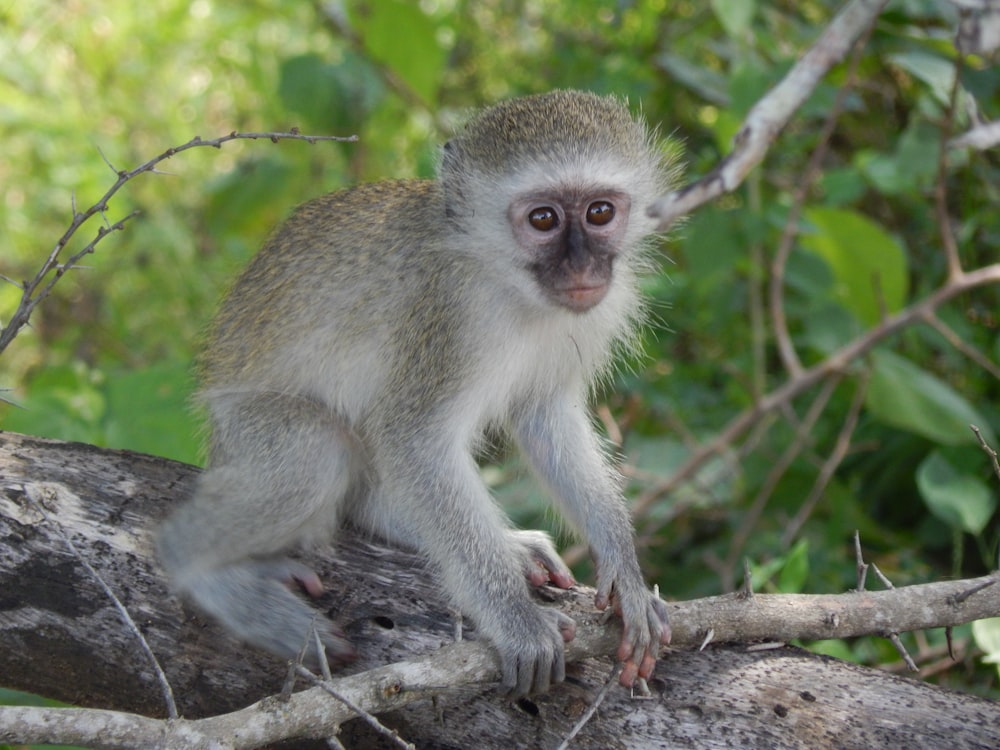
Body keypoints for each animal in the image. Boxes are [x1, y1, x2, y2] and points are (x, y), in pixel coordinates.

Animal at [160, 89, 676, 700]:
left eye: (599, 212)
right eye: (543, 219)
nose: (581, 266)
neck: (508, 282)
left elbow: (544, 417)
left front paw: (628, 576)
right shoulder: (448, 316)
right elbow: (412, 439)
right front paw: (516, 621)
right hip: (244, 426)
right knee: (315, 452)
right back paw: (201, 567)